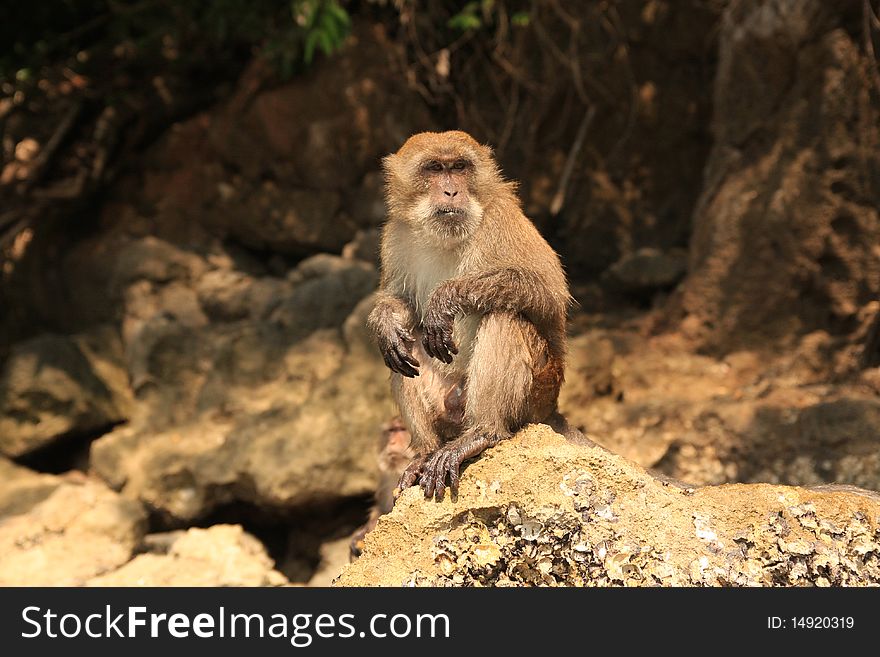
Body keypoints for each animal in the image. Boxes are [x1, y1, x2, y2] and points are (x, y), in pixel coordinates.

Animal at [366, 132, 568, 502]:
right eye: (434, 168)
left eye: (460, 167)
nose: (451, 192)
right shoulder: (395, 235)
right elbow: (400, 302)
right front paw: (386, 322)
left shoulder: (503, 218)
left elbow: (546, 291)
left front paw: (445, 298)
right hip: (447, 407)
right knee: (404, 349)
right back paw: (426, 451)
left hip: (536, 394)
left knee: (504, 316)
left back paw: (483, 433)